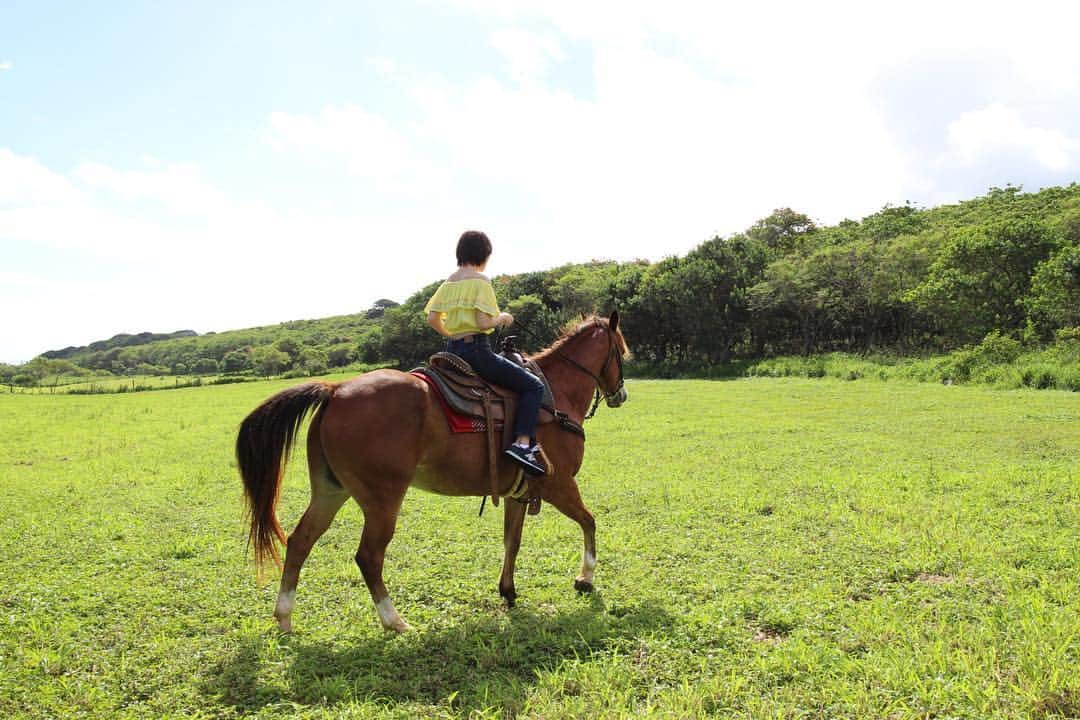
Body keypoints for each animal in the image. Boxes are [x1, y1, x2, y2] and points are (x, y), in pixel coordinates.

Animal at [234, 310, 626, 630]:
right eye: (621, 352)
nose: (620, 395)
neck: (554, 395)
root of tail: (336, 389)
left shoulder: (519, 492)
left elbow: (511, 541)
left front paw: (508, 591)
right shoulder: (559, 484)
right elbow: (589, 522)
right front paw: (585, 578)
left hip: (331, 491)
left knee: (300, 541)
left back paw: (284, 617)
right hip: (382, 499)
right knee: (368, 557)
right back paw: (394, 621)